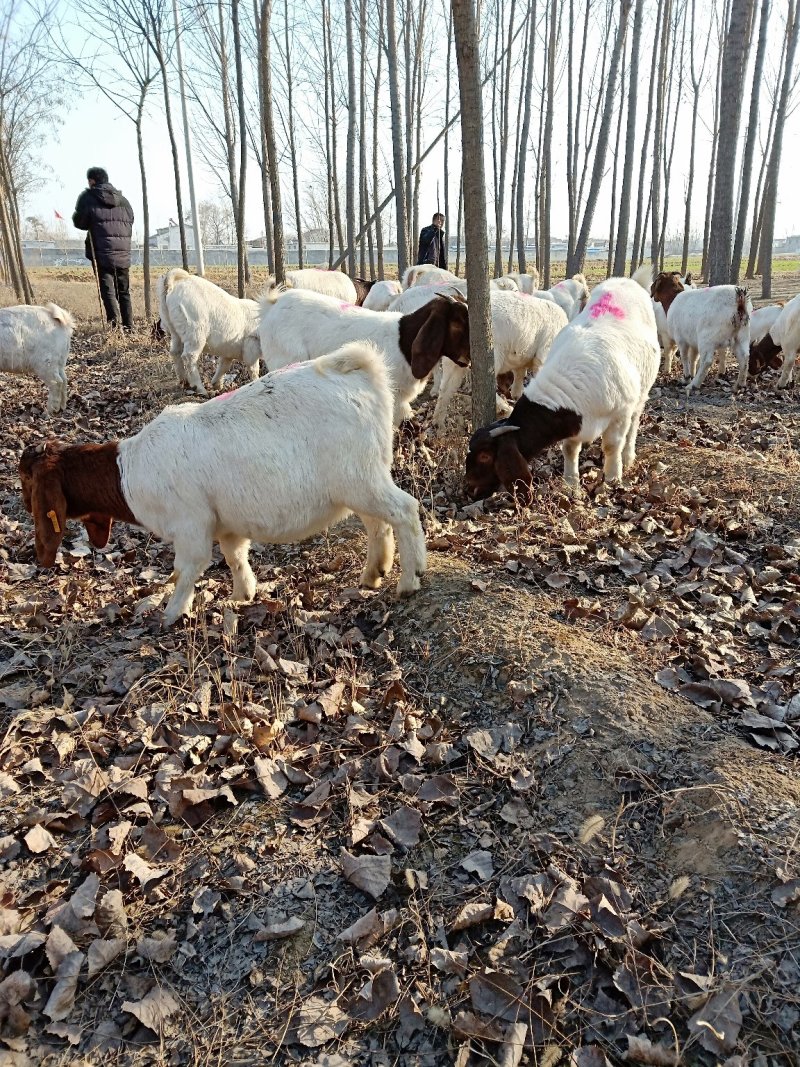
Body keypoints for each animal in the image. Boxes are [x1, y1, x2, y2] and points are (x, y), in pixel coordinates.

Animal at [18, 341, 428, 623]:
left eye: (27, 480)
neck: (128, 468)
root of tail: (358, 369)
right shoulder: (226, 524)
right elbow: (235, 556)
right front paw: (242, 594)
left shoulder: (190, 524)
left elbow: (187, 568)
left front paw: (172, 613)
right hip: (362, 480)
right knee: (378, 523)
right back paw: (373, 574)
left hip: (360, 479)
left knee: (404, 510)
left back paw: (409, 580)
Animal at [154, 268, 258, 399]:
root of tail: (171, 283)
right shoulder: (251, 347)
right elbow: (253, 368)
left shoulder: (229, 351)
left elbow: (224, 366)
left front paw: (217, 385)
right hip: (195, 330)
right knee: (189, 356)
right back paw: (201, 389)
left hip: (175, 330)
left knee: (175, 352)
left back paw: (184, 382)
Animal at [433, 292, 571, 428]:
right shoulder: (544, 354)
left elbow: (519, 379)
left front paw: (516, 396)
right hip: (492, 353)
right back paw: (505, 409)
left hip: (454, 359)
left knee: (446, 387)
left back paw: (438, 423)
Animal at [460, 271, 661, 495]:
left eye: (485, 456)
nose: (467, 486)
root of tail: (626, 281)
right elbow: (570, 449)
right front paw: (571, 483)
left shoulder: (620, 413)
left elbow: (612, 445)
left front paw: (612, 478)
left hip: (641, 392)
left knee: (634, 423)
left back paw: (627, 456)